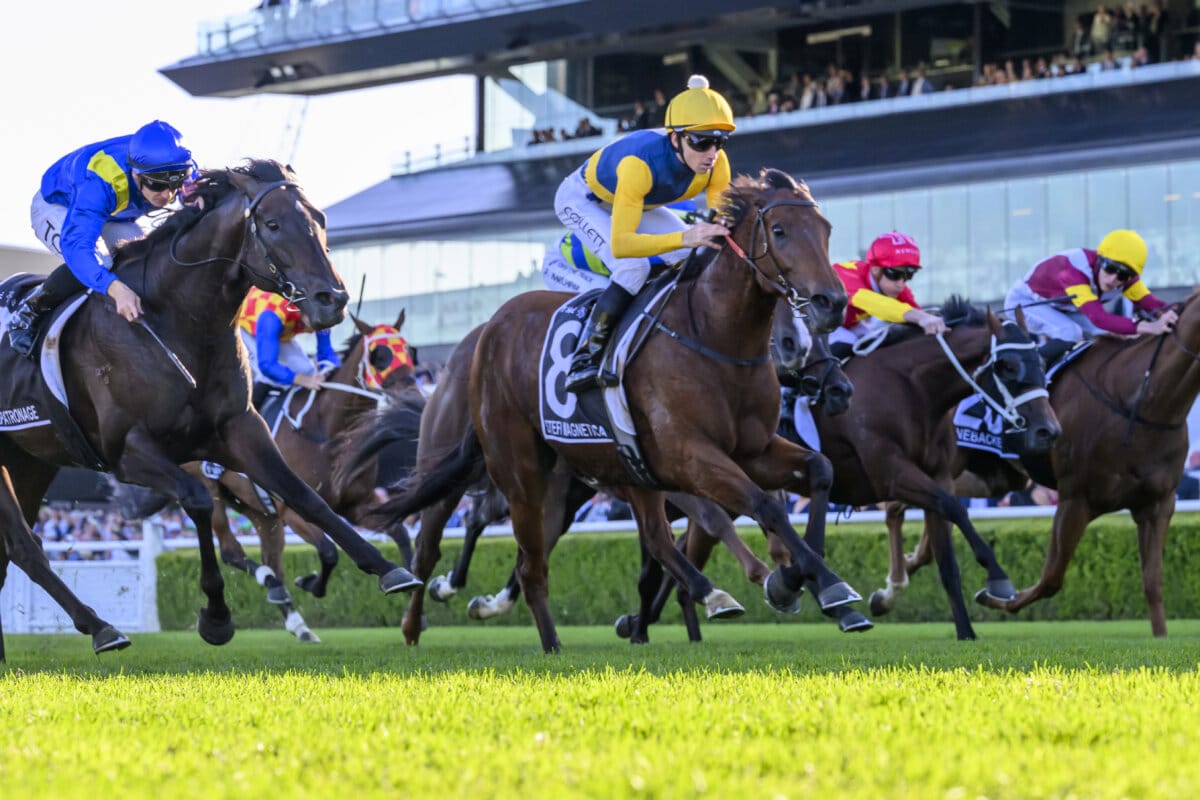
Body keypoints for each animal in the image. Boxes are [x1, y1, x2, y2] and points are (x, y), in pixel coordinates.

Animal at [0, 159, 419, 659]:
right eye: (272, 224)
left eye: (319, 219)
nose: (331, 299)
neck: (177, 321)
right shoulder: (128, 451)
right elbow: (199, 503)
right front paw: (216, 617)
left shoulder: (241, 431)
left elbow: (308, 497)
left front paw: (391, 571)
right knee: (27, 548)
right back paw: (102, 627)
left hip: (30, 459)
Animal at [376, 168, 861, 653]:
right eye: (779, 231)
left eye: (826, 230)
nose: (831, 303)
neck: (712, 335)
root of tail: (489, 331)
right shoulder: (689, 457)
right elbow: (758, 506)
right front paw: (801, 581)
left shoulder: (749, 451)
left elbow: (818, 472)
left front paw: (806, 582)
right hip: (518, 470)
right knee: (471, 548)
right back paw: (446, 624)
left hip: (610, 475)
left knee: (631, 542)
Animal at [889, 292, 1200, 637]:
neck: (1140, 401)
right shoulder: (1077, 498)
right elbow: (1051, 578)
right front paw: (996, 596)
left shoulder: (1158, 504)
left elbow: (1153, 584)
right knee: (898, 505)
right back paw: (891, 587)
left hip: (989, 476)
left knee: (922, 514)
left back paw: (895, 581)